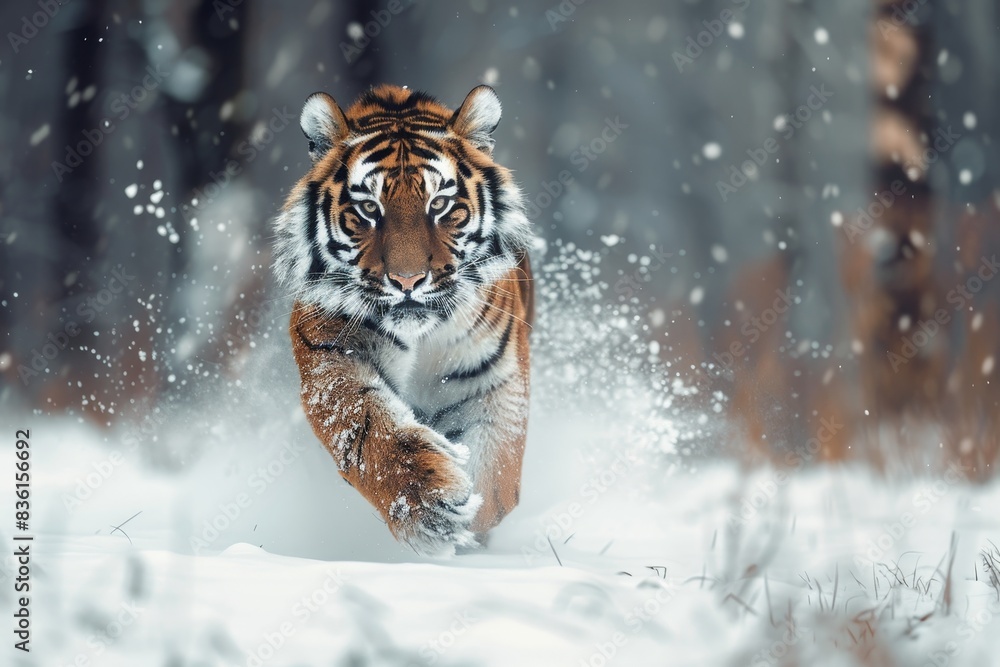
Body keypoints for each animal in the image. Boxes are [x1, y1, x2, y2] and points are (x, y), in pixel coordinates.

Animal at [272, 84, 534, 556]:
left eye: (440, 204)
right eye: (368, 208)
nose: (408, 280)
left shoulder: (494, 377)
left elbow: (496, 475)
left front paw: (473, 526)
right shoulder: (334, 357)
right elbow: (368, 429)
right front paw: (430, 503)